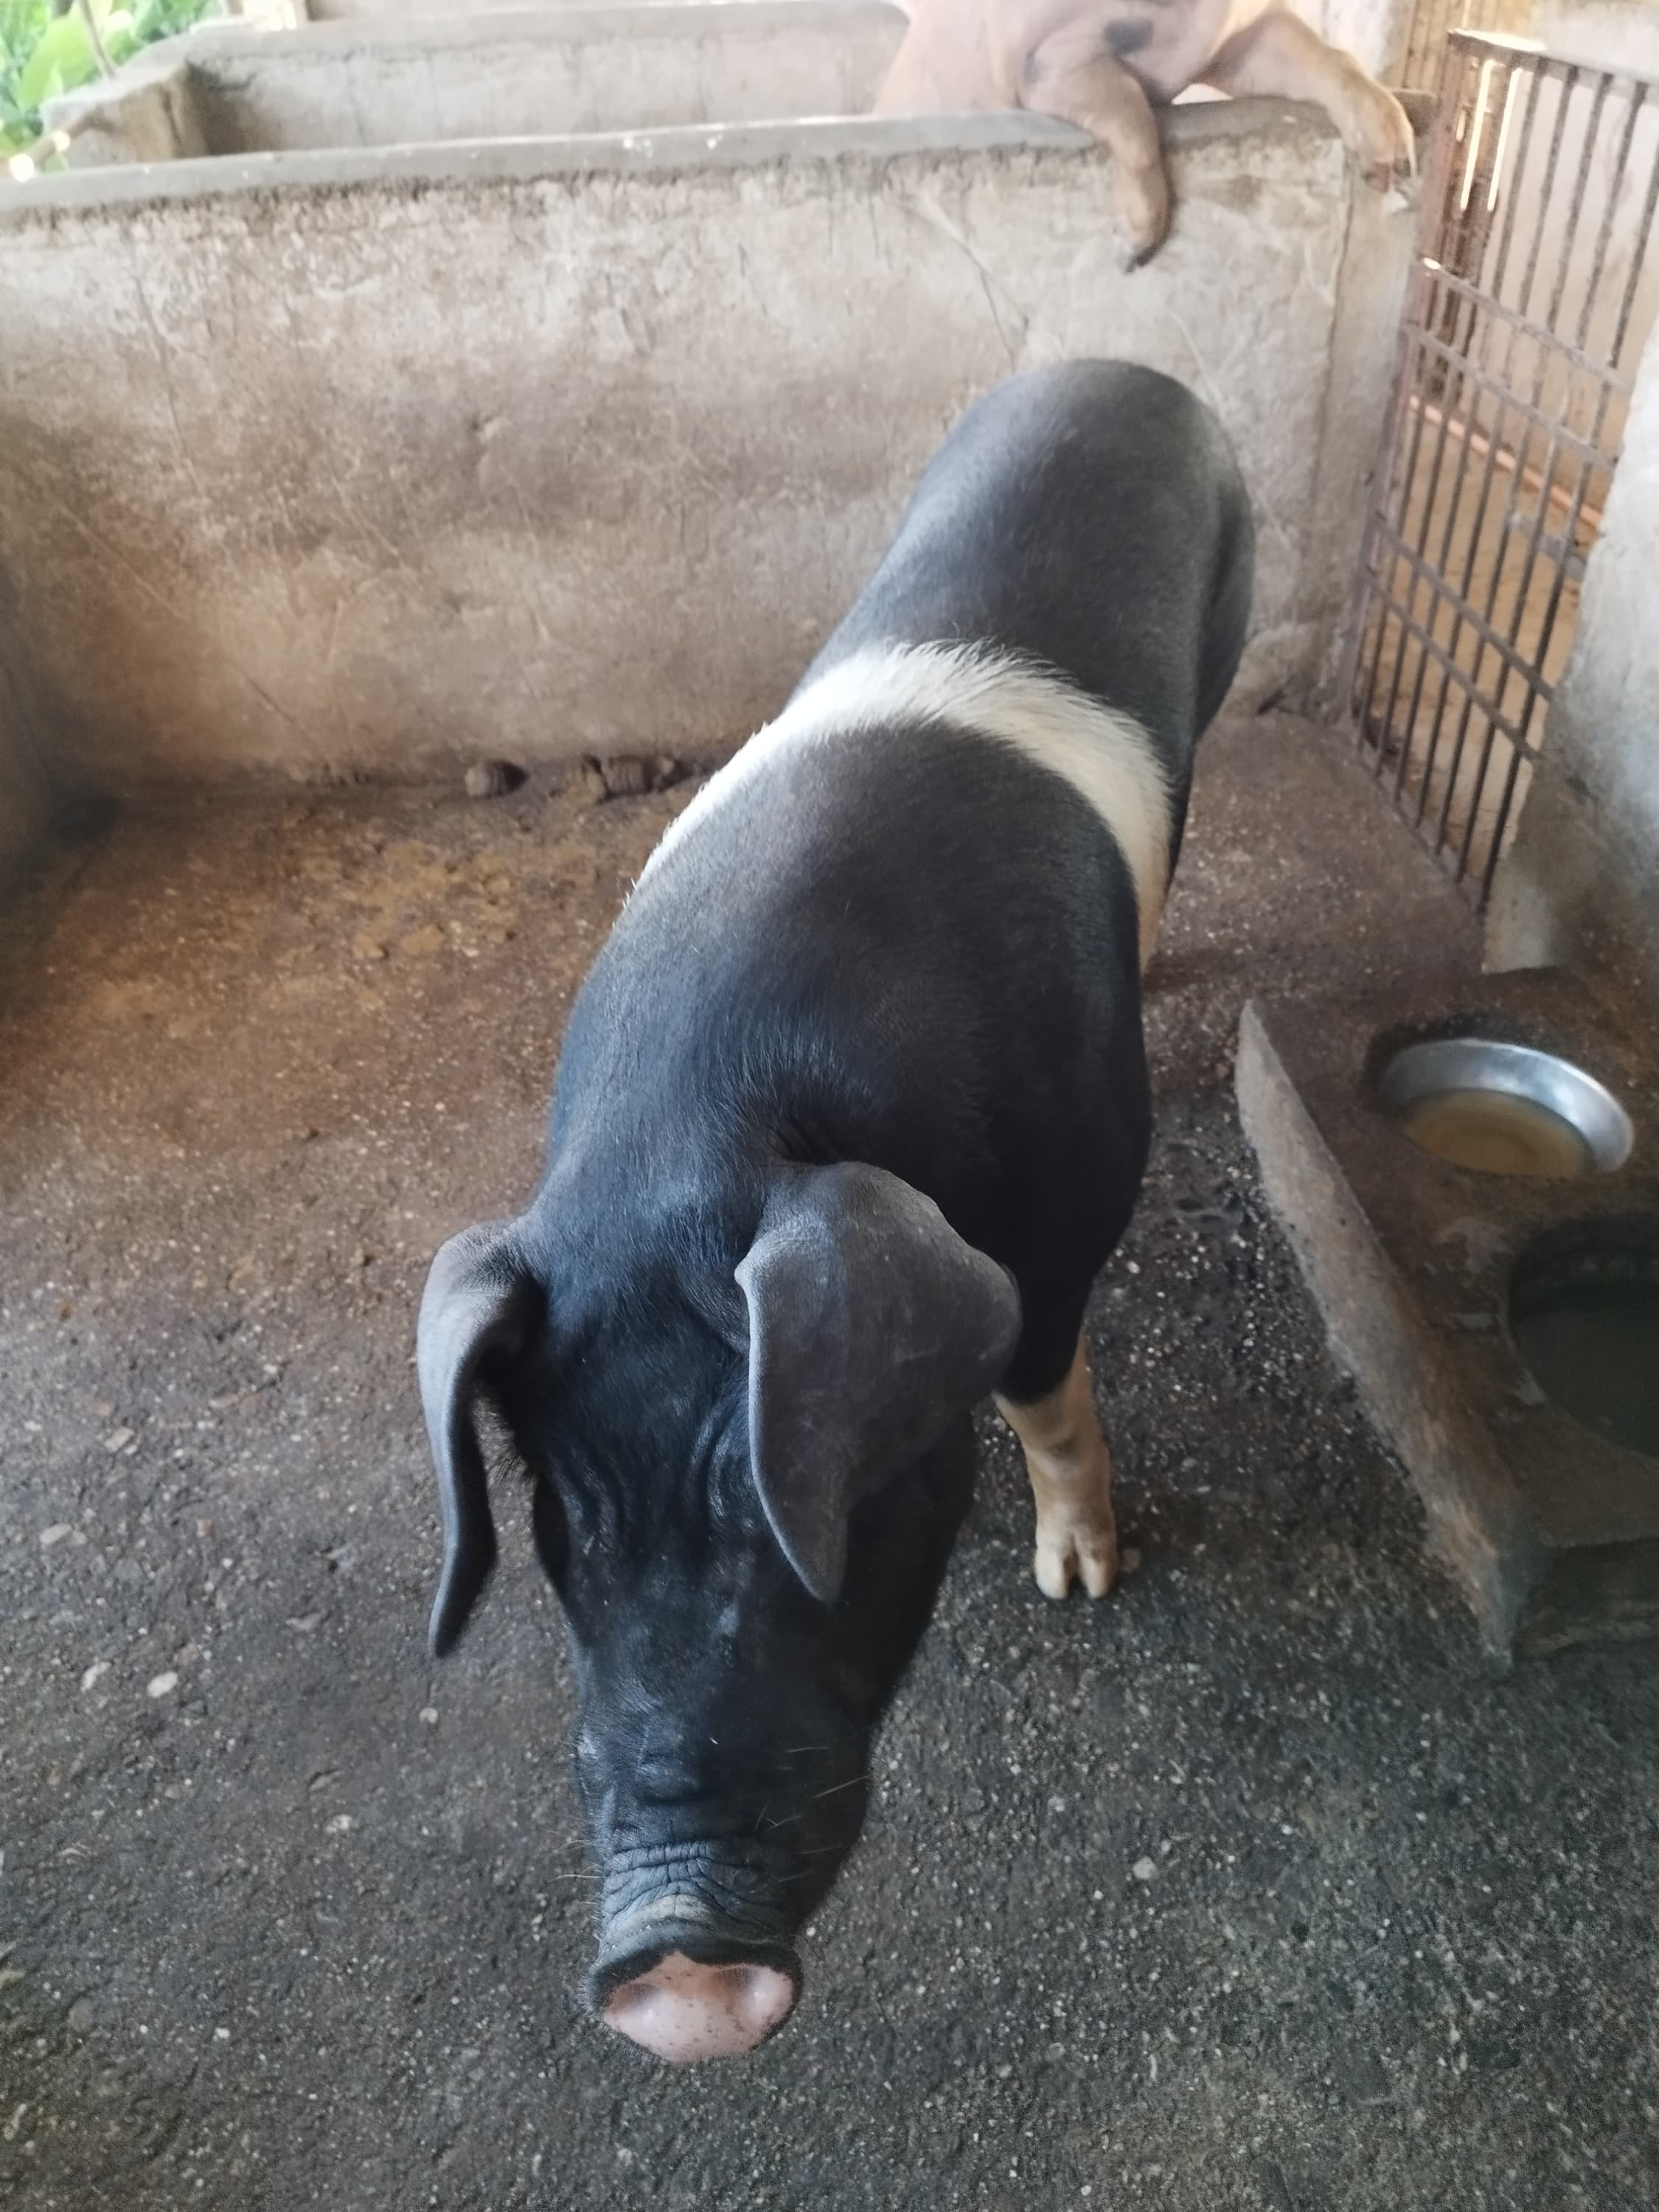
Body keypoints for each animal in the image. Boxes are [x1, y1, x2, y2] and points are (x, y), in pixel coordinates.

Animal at [417, 359, 1254, 2063]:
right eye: (564, 1530)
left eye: (781, 1511)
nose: (673, 1979)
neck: (702, 1121)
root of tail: (1119, 367)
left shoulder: (1071, 1214)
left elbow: (1046, 1395)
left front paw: (1084, 1585)